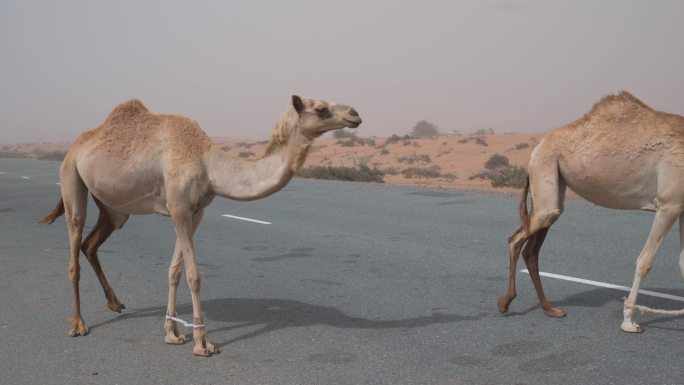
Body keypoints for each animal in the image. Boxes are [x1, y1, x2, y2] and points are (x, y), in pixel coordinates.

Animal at [39, 94, 364, 356]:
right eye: (320, 108)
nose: (355, 113)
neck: (209, 165)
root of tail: (75, 146)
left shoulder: (196, 212)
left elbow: (174, 270)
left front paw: (172, 333)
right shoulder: (179, 209)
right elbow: (194, 275)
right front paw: (202, 343)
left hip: (114, 209)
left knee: (91, 243)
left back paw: (115, 304)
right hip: (71, 178)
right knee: (75, 247)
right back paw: (79, 325)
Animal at [496, 91, 684, 332]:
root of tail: (536, 149)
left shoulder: (681, 207)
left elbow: (682, 264)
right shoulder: (669, 203)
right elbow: (645, 261)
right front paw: (629, 321)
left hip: (551, 187)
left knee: (531, 249)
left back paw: (550, 309)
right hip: (544, 169)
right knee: (516, 239)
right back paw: (506, 303)